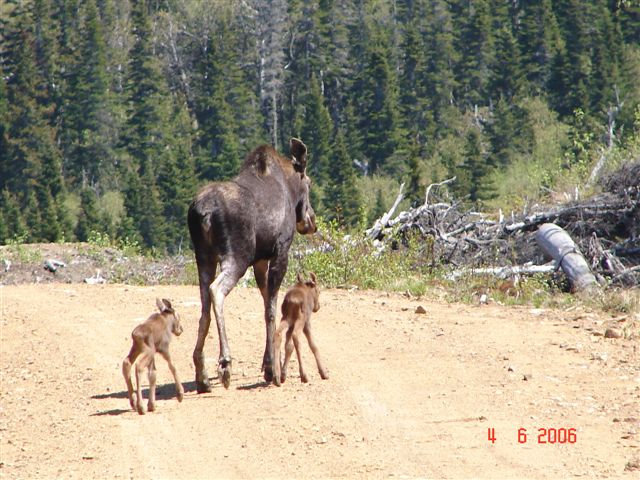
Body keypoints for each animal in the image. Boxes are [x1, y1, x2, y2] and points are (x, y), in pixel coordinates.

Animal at [188, 139, 318, 394]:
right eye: (308, 183)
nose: (311, 221)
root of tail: (202, 214)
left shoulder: (260, 260)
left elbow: (266, 302)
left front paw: (268, 363)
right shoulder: (280, 250)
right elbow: (272, 309)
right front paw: (272, 369)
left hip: (204, 257)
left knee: (204, 306)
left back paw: (202, 375)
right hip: (237, 255)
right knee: (216, 291)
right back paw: (225, 363)